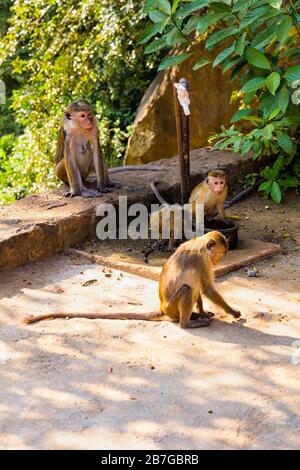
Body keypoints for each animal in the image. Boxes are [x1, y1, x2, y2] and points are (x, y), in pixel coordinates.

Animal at [22, 230, 239, 326]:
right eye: (219, 255)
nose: (218, 261)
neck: (201, 245)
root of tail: (162, 308)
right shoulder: (201, 260)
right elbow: (206, 287)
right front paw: (232, 311)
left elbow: (201, 288)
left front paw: (202, 310)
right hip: (172, 307)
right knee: (187, 290)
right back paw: (188, 322)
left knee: (191, 288)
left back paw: (195, 315)